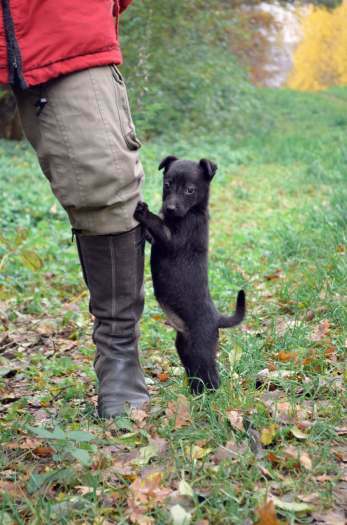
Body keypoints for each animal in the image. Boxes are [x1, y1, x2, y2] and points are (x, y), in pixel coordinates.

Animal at [135, 156, 246, 392]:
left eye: (190, 190)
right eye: (167, 184)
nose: (169, 208)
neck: (193, 212)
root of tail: (216, 318)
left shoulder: (172, 240)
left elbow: (158, 224)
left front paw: (144, 212)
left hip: (200, 349)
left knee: (211, 376)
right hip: (185, 348)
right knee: (196, 373)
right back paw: (195, 393)